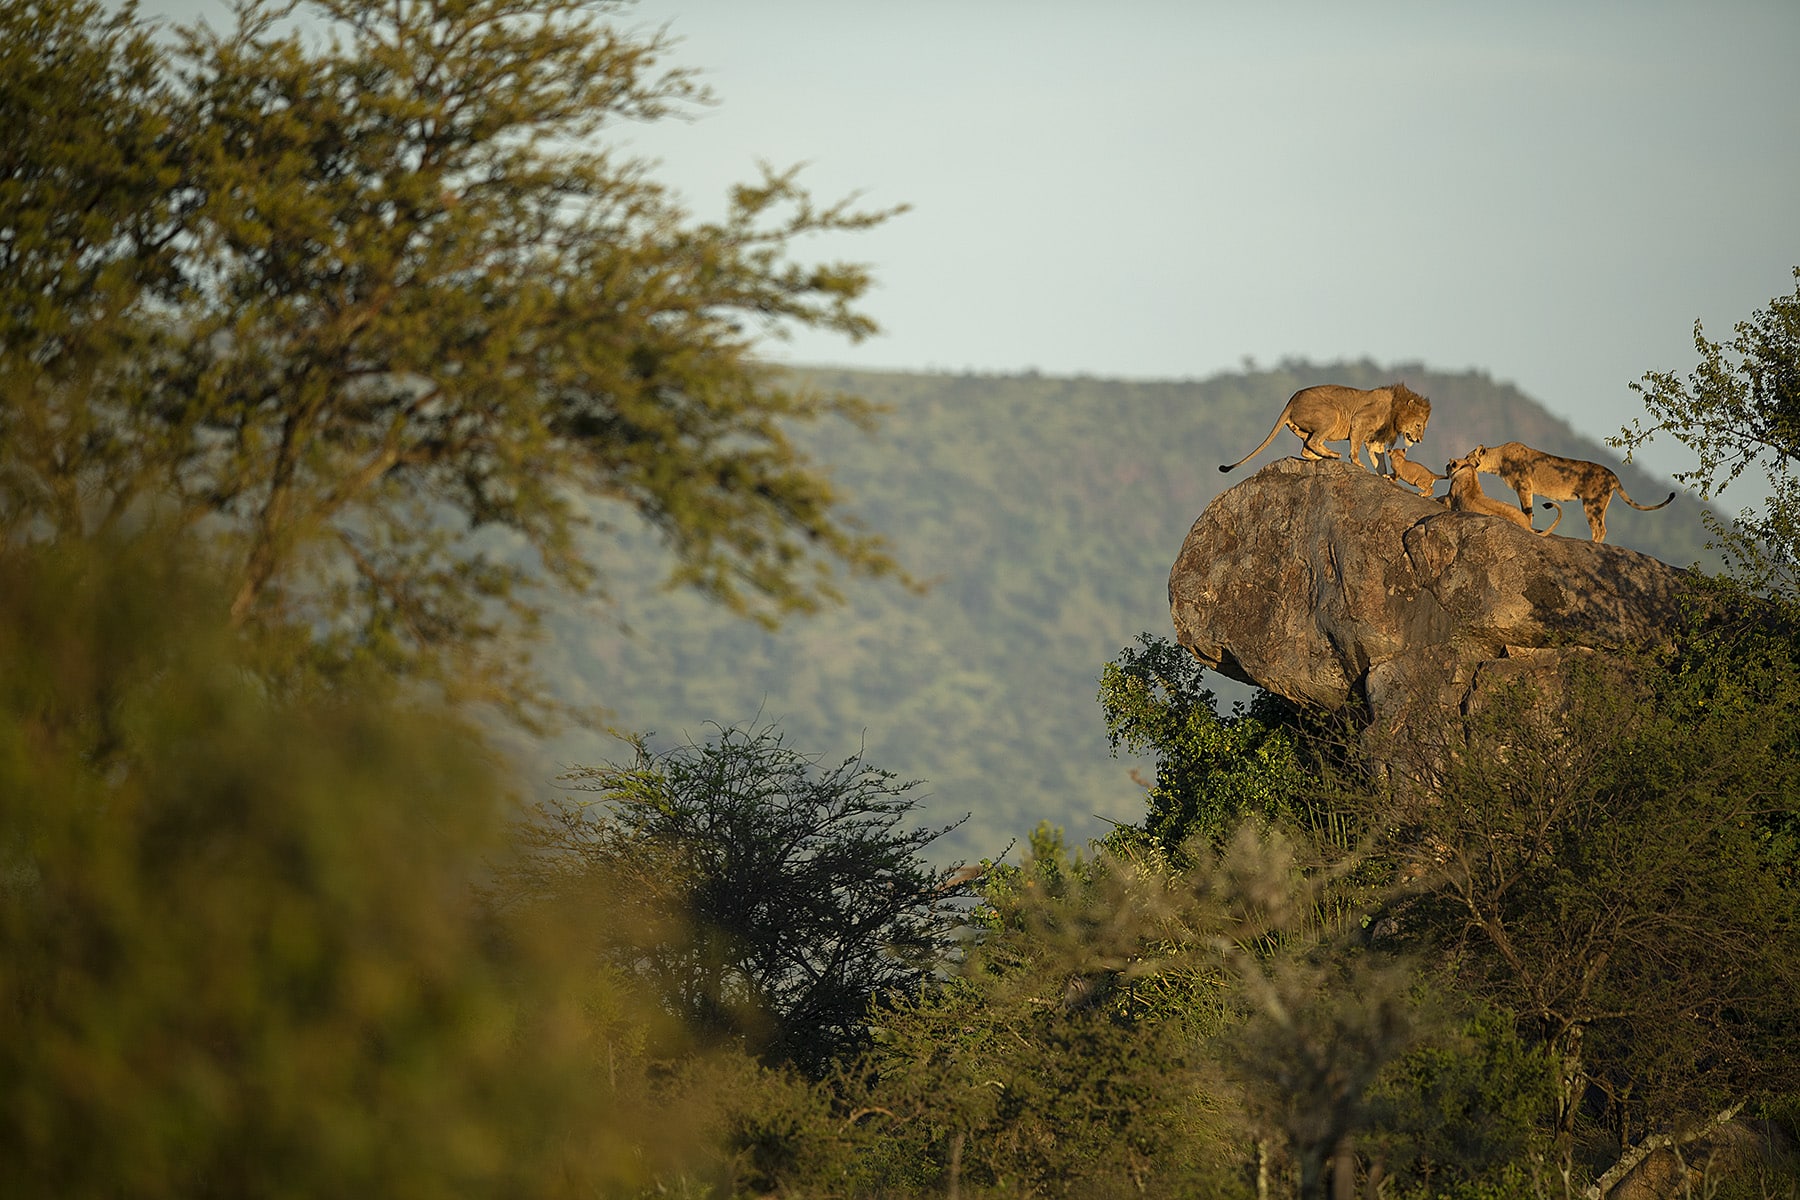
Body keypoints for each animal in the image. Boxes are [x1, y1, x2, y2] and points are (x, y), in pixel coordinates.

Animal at [1224, 386, 1432, 474]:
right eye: (1418, 425)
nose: (1420, 440)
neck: (1396, 412)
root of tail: (1292, 400)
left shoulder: (1376, 441)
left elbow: (1379, 461)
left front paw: (1386, 477)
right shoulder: (1360, 420)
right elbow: (1355, 447)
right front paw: (1357, 463)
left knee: (1306, 447)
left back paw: (1320, 456)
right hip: (1332, 413)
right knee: (1313, 441)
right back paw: (1332, 455)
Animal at [1461, 440, 1670, 543]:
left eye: (1467, 456)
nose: (1460, 460)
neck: (1498, 461)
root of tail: (1613, 474)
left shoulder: (1524, 486)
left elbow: (1527, 511)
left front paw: (1527, 526)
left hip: (1593, 503)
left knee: (1600, 528)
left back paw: (1592, 544)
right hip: (1600, 504)